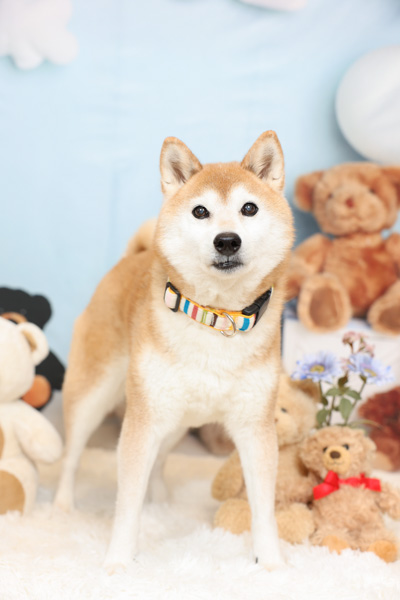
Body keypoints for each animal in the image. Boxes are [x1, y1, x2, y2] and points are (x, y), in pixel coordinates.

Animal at [54, 131, 294, 572]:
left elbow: (263, 508)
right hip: (94, 395)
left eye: (249, 208)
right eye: (200, 211)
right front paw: (118, 562)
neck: (216, 318)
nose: (227, 240)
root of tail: (129, 260)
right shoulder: (141, 423)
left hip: (175, 419)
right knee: (72, 456)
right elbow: (126, 504)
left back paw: (163, 503)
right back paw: (63, 506)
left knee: (162, 460)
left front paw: (271, 564)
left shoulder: (255, 427)